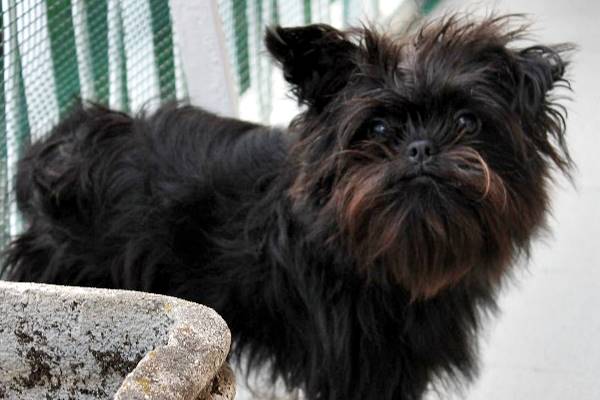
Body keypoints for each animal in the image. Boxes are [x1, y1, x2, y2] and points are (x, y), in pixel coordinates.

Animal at [2, 14, 572, 400]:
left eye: (466, 122)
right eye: (378, 128)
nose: (421, 147)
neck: (388, 260)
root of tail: (66, 151)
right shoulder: (360, 369)